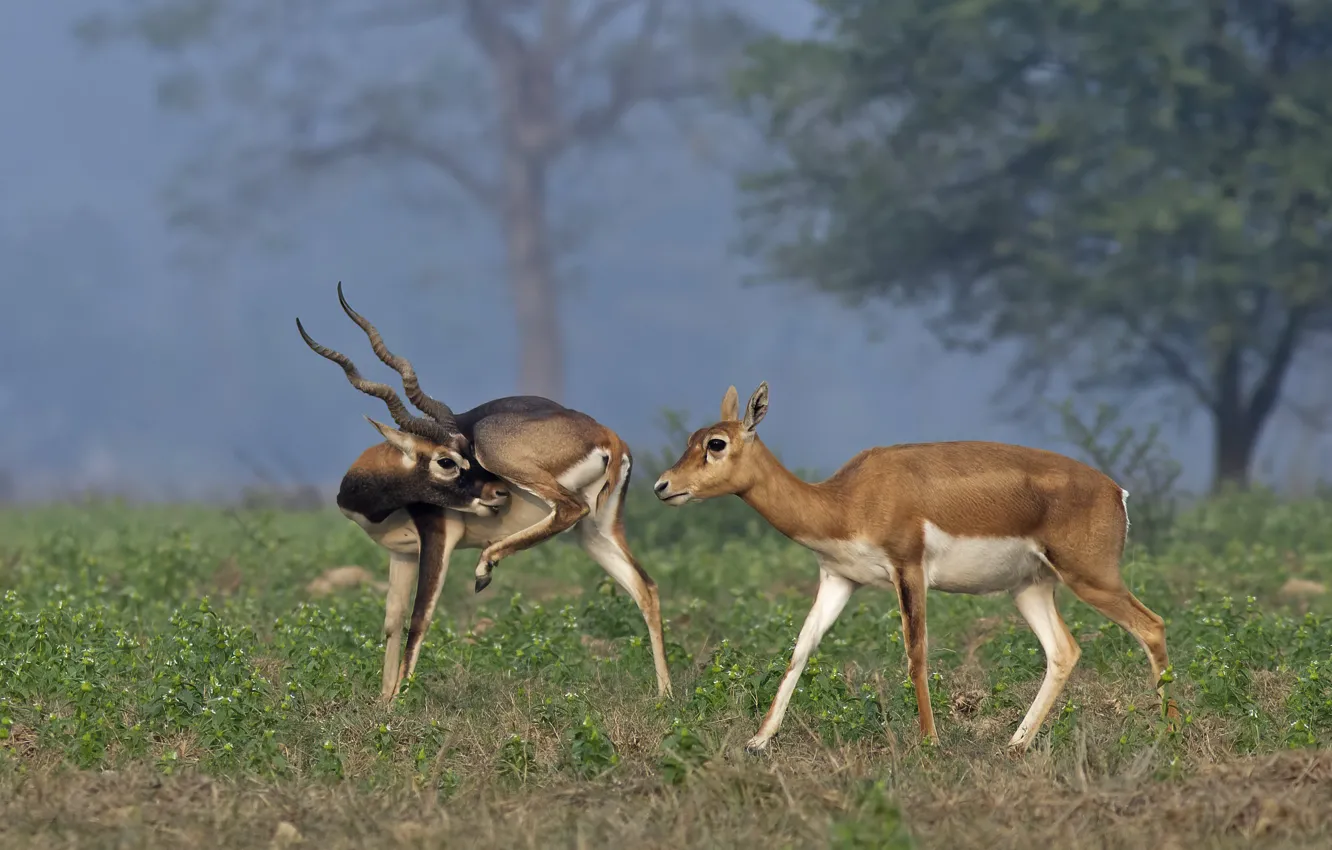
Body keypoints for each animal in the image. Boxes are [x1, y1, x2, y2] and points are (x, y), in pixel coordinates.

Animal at [295, 285, 672, 703]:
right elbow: (392, 623)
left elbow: (419, 619)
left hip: (522, 470)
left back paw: (484, 568)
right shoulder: (401, 553)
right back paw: (665, 696)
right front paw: (384, 703)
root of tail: (608, 436)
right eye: (447, 460)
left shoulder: (438, 537)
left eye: (465, 453)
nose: (498, 492)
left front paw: (400, 703)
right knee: (646, 587)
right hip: (596, 532)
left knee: (568, 509)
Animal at [653, 382, 1172, 755]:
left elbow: (915, 654)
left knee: (1152, 626)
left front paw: (930, 742)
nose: (662, 486)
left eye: (716, 443)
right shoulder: (838, 578)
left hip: (1092, 578)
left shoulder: (909, 569)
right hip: (1031, 588)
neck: (845, 501)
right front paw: (758, 741)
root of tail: (1115, 491)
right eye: (691, 439)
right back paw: (1016, 744)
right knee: (1064, 650)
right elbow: (800, 650)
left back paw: (1169, 734)